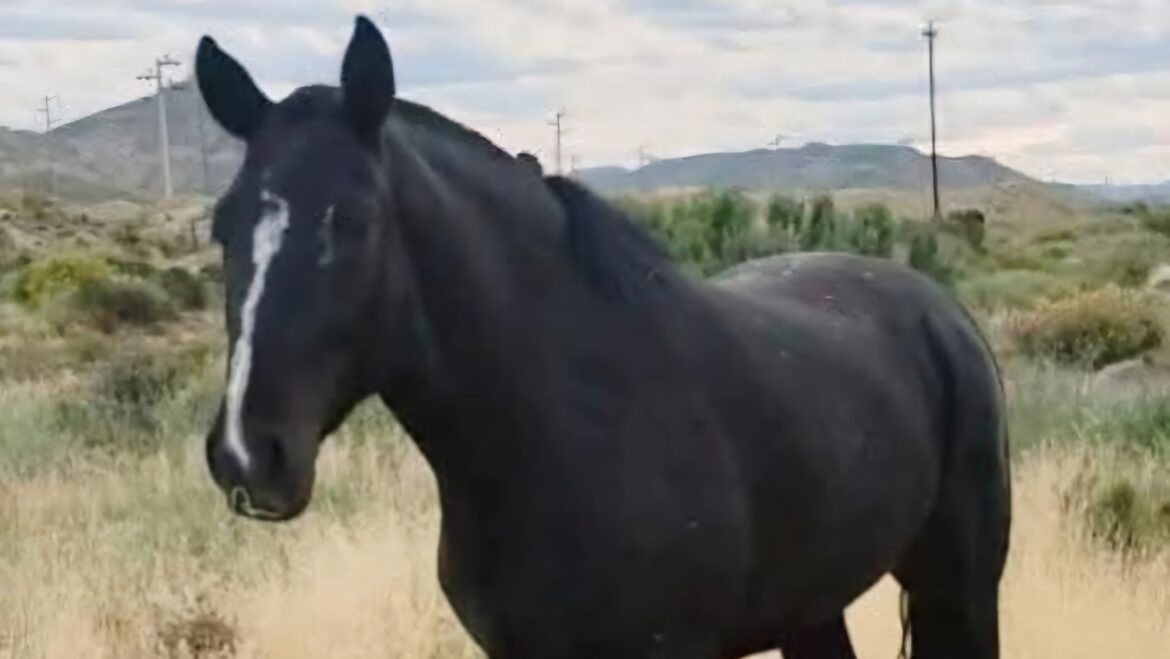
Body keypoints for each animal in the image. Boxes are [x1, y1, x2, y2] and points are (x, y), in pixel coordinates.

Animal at [196, 16, 1010, 659]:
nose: (247, 455)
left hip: (959, 583)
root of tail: (939, 307)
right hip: (813, 603)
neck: (565, 428)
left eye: (355, 221)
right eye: (221, 225)